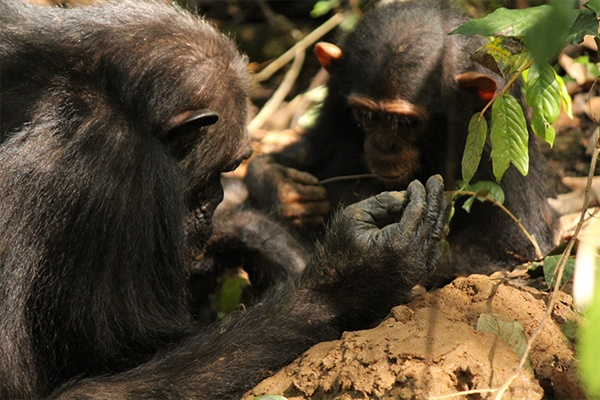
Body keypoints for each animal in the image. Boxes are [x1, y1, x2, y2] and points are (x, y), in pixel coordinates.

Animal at [244, 0, 556, 288]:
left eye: (406, 123)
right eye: (366, 115)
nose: (384, 144)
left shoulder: (491, 135)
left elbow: (508, 239)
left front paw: (377, 263)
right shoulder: (334, 108)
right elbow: (305, 153)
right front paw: (283, 187)